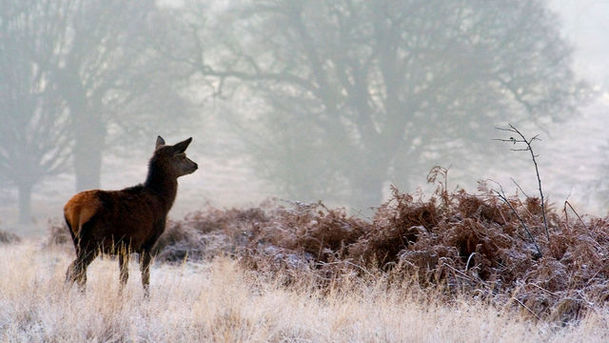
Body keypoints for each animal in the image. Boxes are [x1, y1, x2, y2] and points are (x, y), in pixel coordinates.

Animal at [62, 136, 196, 296]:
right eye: (183, 156)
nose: (195, 165)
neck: (162, 202)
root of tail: (71, 209)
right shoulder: (147, 242)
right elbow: (145, 276)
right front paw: (146, 298)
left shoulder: (124, 246)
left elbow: (123, 276)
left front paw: (120, 296)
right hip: (91, 242)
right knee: (76, 269)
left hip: (77, 241)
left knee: (78, 271)